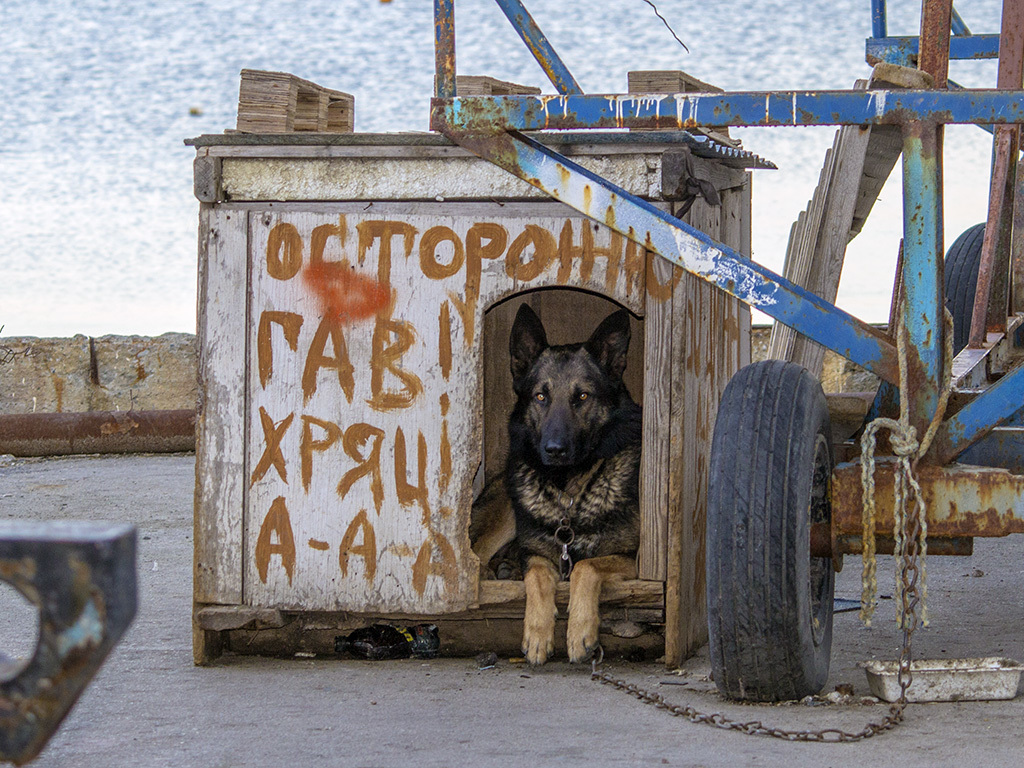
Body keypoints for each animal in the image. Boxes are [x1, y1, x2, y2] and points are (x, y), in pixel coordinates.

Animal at [468, 307, 638, 667]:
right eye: (540, 396)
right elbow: (537, 576)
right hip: (507, 511)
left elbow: (585, 566)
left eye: (582, 396)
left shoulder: (635, 559)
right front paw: (537, 632)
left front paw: (580, 631)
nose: (554, 450)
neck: (569, 493)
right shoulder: (535, 554)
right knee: (476, 552)